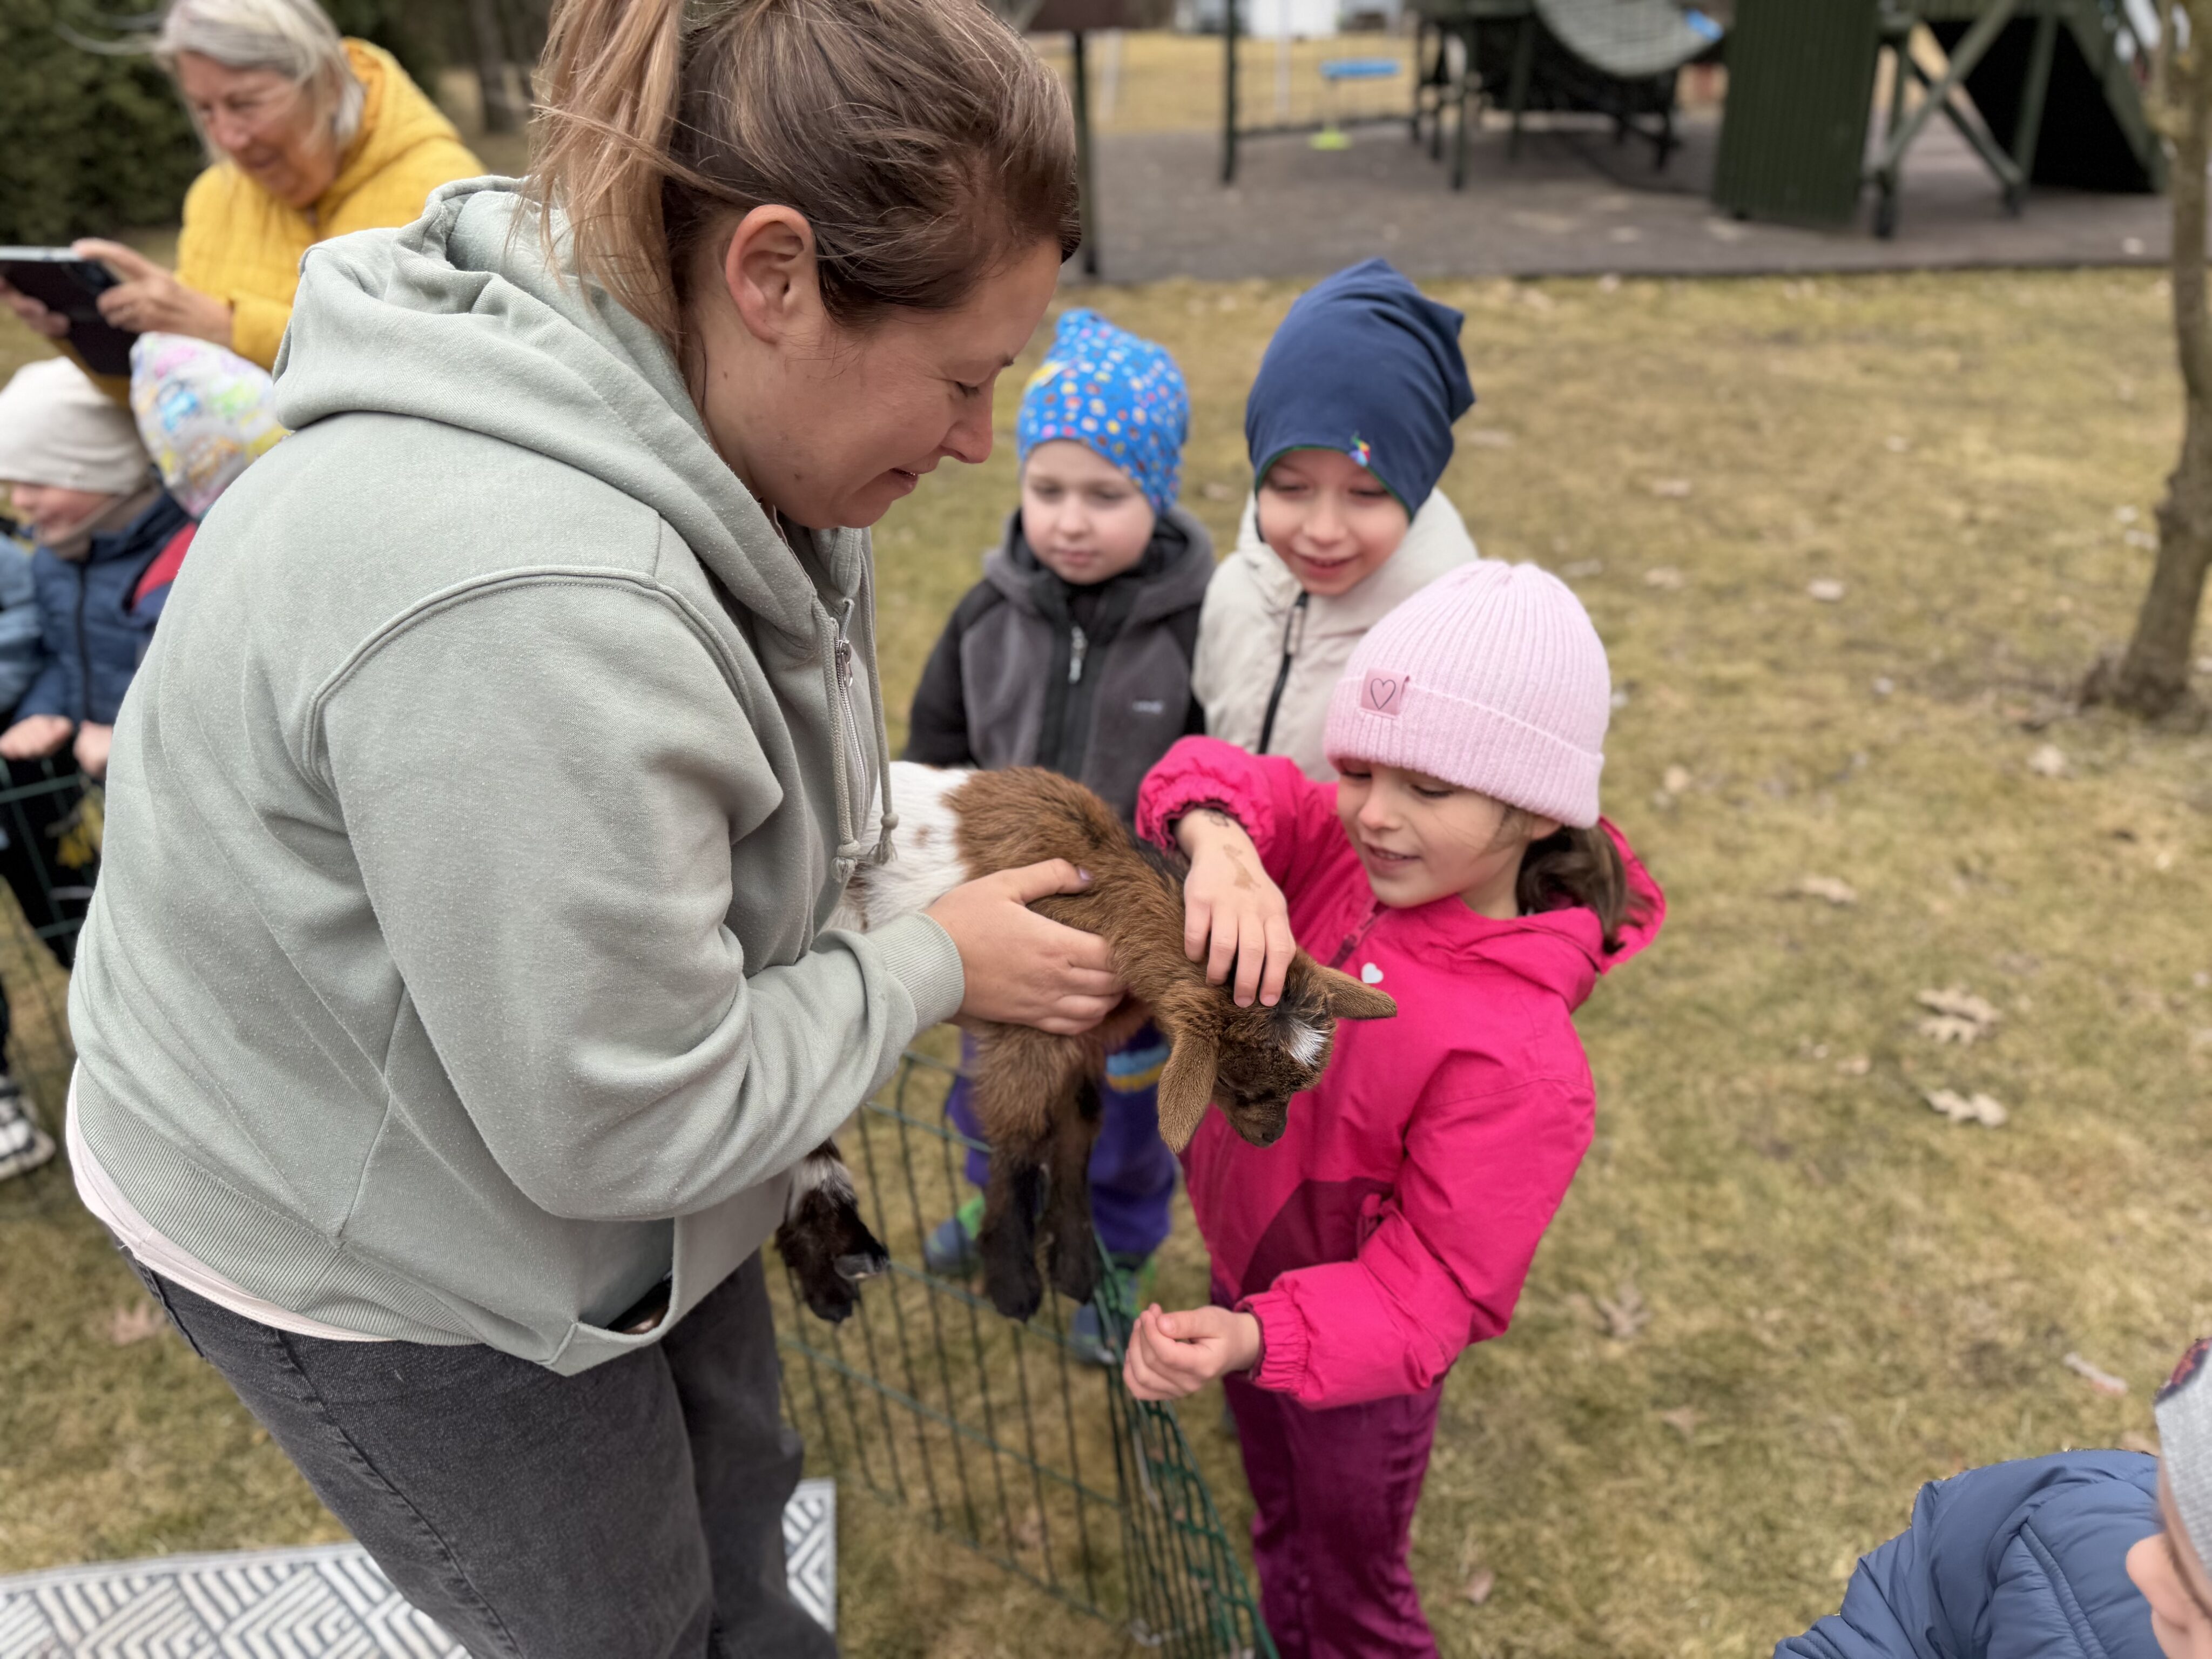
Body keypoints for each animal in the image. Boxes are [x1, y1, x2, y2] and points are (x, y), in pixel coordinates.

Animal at [775, 762, 1396, 1325]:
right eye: (1231, 1082)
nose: (1271, 1138)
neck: (1103, 873)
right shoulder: (1030, 1025)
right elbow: (1021, 1135)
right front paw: (1013, 1281)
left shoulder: (1082, 1037)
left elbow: (1080, 1130)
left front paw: (1074, 1264)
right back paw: (834, 1272)